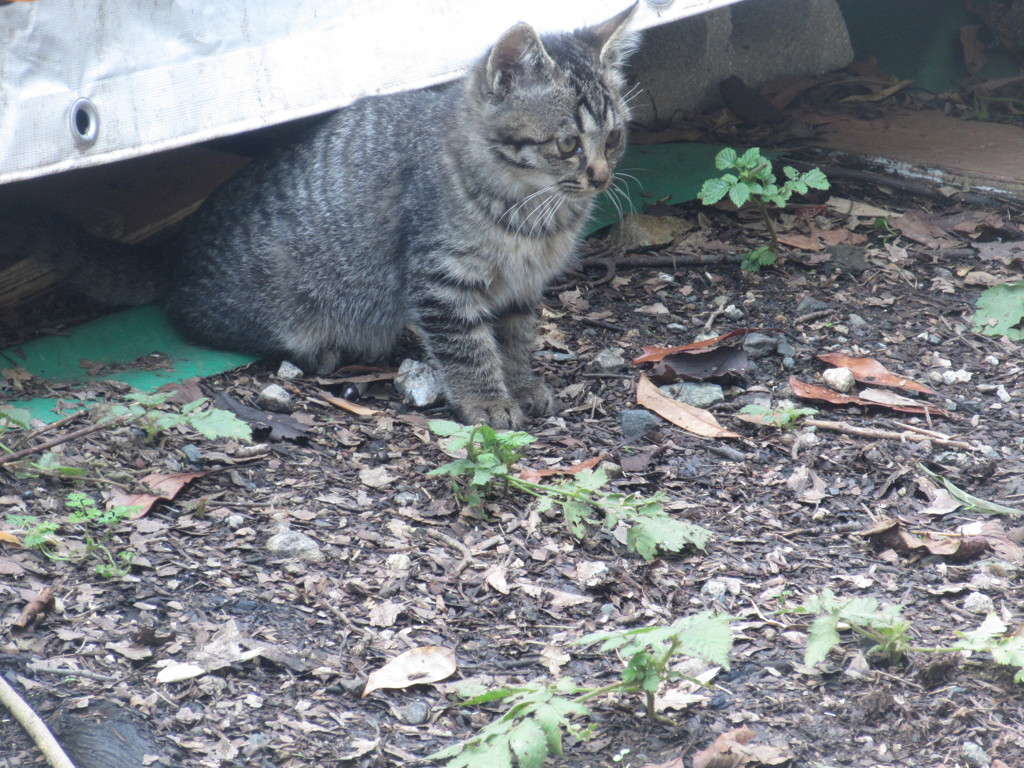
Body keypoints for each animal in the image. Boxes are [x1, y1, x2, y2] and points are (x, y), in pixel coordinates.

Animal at [28, 4, 634, 428]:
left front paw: (522, 383)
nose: (602, 175)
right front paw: (487, 401)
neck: (535, 214)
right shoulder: (441, 280)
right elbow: (467, 347)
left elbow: (517, 337)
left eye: (615, 137)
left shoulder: (522, 286)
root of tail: (175, 249)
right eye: (567, 144)